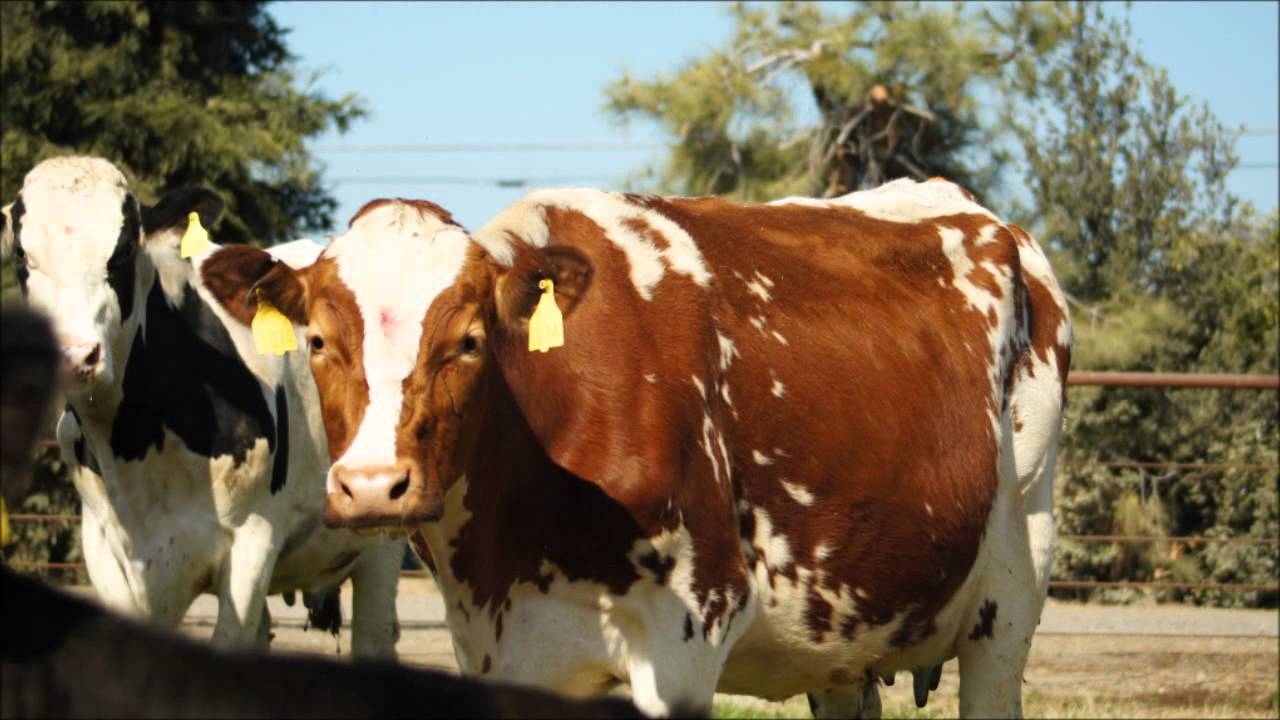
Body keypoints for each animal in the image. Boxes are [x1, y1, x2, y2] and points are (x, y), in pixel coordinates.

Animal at [0, 156, 404, 654]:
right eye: (21, 256)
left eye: (123, 251)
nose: (75, 355)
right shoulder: (104, 547)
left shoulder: (253, 540)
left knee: (373, 635)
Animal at [198, 178, 1072, 717]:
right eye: (317, 341)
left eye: (469, 341)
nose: (375, 485)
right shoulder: (505, 650)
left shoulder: (686, 645)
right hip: (847, 625)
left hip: (1007, 604)